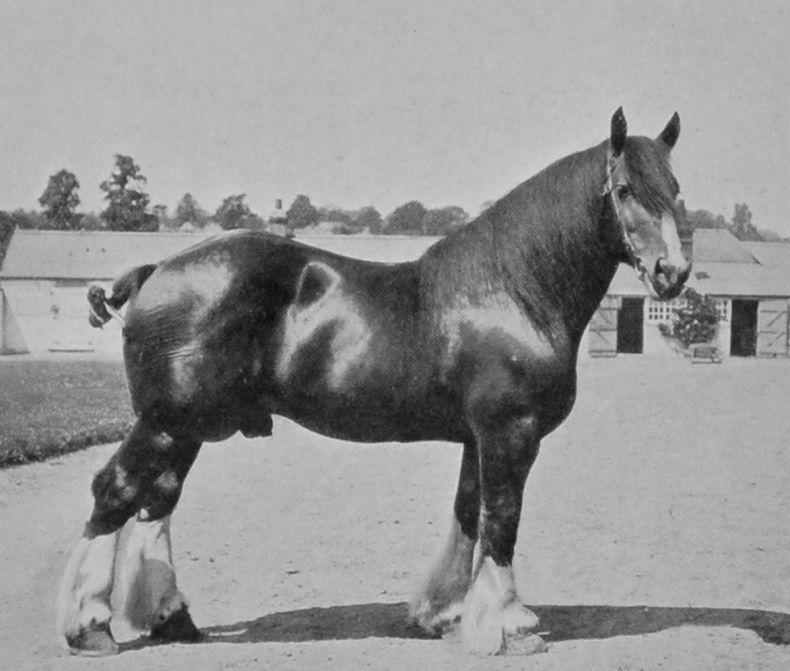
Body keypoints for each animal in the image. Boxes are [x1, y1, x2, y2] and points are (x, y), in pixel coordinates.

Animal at [57, 108, 690, 657]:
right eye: (626, 189)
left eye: (677, 190)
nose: (673, 273)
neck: (512, 289)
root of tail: (153, 272)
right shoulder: (511, 434)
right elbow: (501, 522)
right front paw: (510, 626)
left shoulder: (476, 438)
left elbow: (468, 514)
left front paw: (444, 613)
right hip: (166, 423)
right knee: (115, 493)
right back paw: (89, 626)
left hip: (186, 429)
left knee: (156, 502)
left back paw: (171, 619)